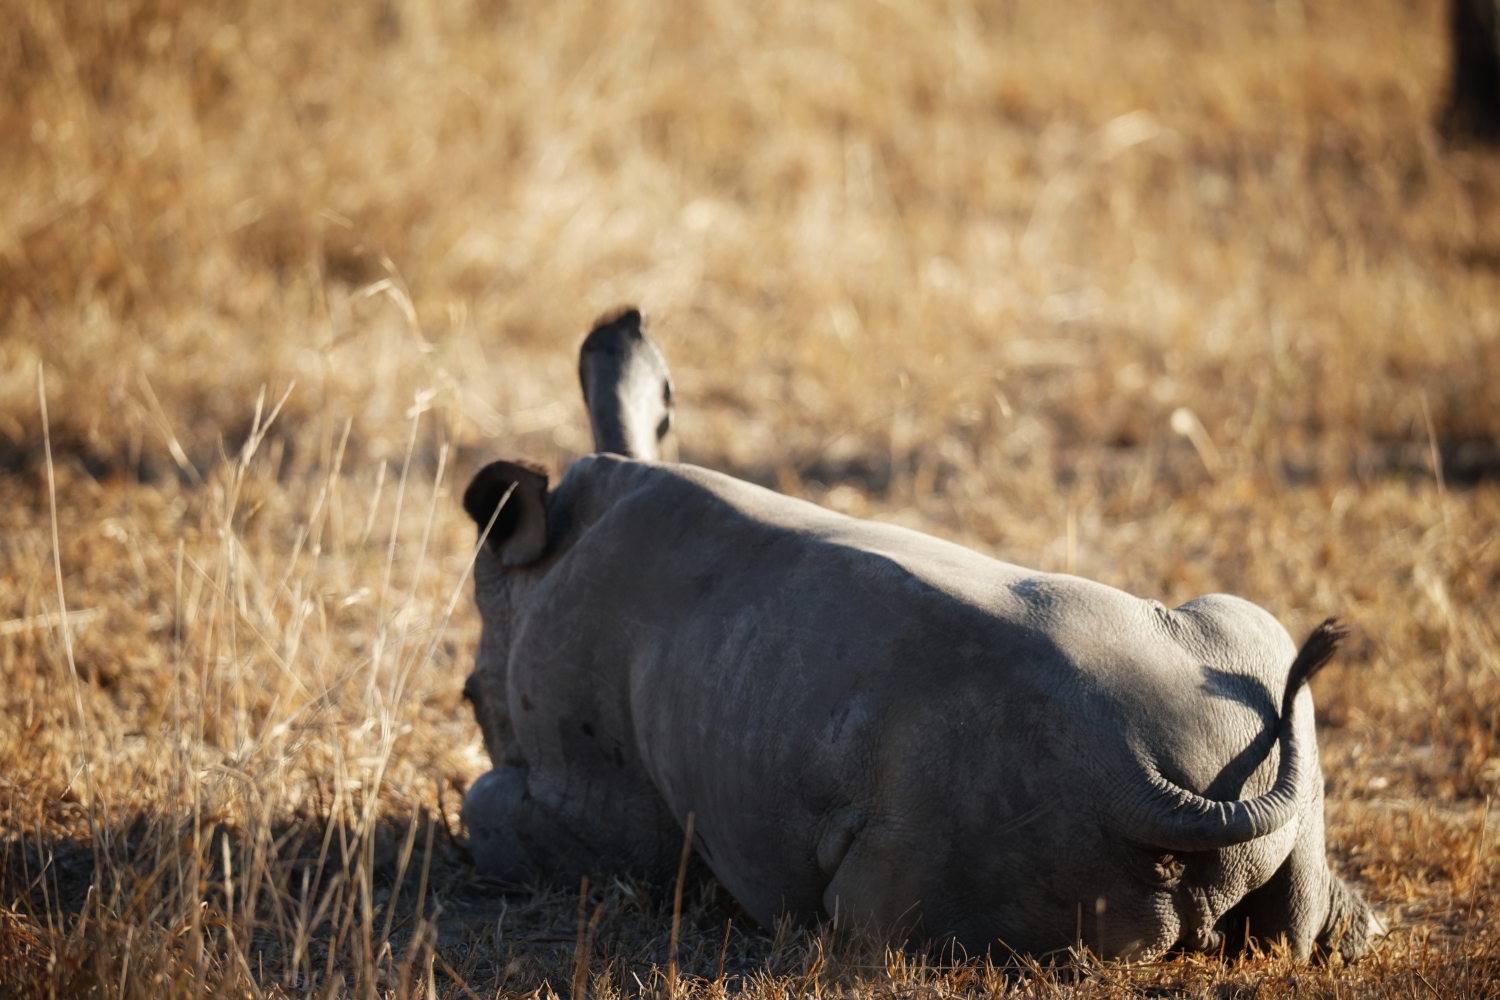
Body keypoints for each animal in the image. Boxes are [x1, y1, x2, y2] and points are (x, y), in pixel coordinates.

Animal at [456, 307, 1374, 959]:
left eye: (467, 700)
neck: (550, 552)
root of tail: (1144, 782)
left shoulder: (600, 816)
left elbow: (483, 805)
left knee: (854, 917)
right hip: (1231, 678)